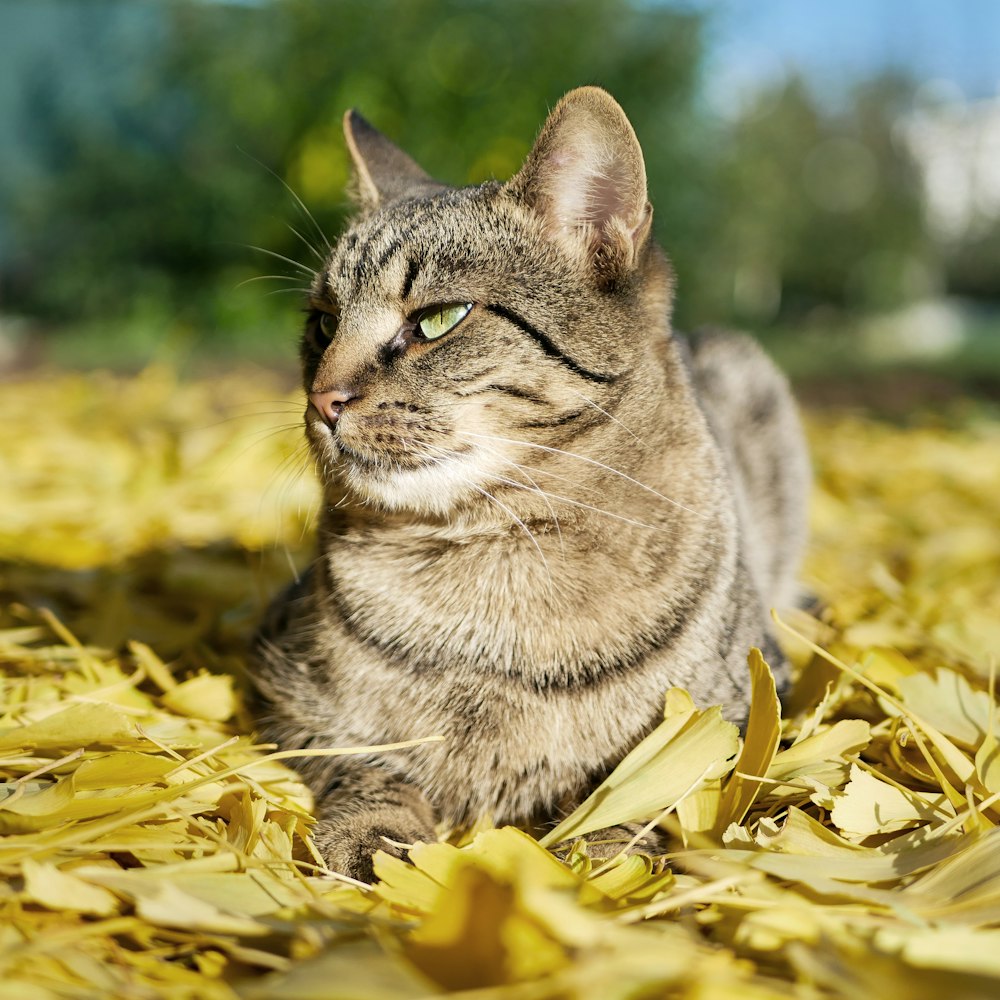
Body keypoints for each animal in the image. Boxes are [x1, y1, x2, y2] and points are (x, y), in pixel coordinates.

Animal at [252, 88, 812, 884]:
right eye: (323, 325)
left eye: (438, 319)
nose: (321, 399)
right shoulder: (288, 694)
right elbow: (370, 764)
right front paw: (376, 836)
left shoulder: (749, 713)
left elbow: (646, 790)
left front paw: (604, 854)